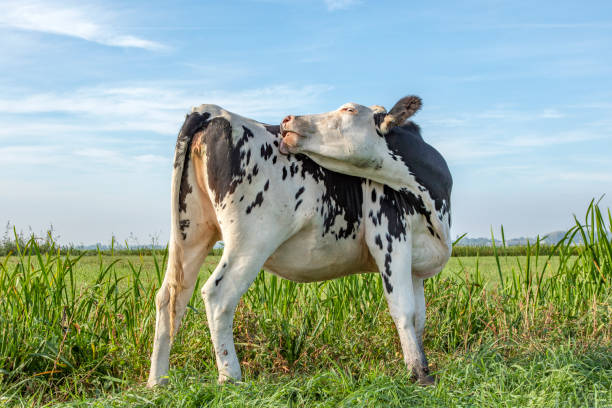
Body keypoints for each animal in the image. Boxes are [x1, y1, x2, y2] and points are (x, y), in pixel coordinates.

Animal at [147, 96, 454, 388]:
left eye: (349, 109)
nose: (287, 120)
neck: (432, 201)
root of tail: (213, 111)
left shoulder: (417, 265)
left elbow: (420, 317)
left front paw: (424, 366)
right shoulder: (390, 237)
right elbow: (404, 310)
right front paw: (418, 373)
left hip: (191, 232)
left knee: (170, 297)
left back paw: (158, 381)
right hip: (251, 240)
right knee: (217, 295)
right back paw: (231, 377)